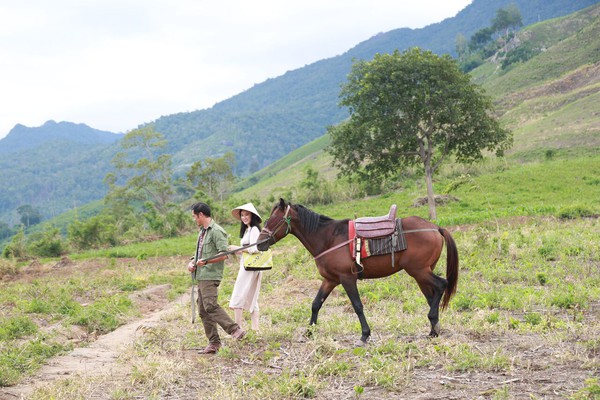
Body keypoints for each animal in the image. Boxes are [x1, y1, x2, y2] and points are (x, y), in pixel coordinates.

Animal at [255, 199, 458, 344]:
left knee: (442, 284)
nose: (259, 243)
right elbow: (316, 304)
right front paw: (309, 332)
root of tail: (434, 227)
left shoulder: (347, 279)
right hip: (422, 273)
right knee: (431, 295)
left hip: (419, 271)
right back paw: (433, 330)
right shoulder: (330, 280)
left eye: (273, 220)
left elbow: (357, 306)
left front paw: (365, 335)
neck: (329, 238)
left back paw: (433, 322)